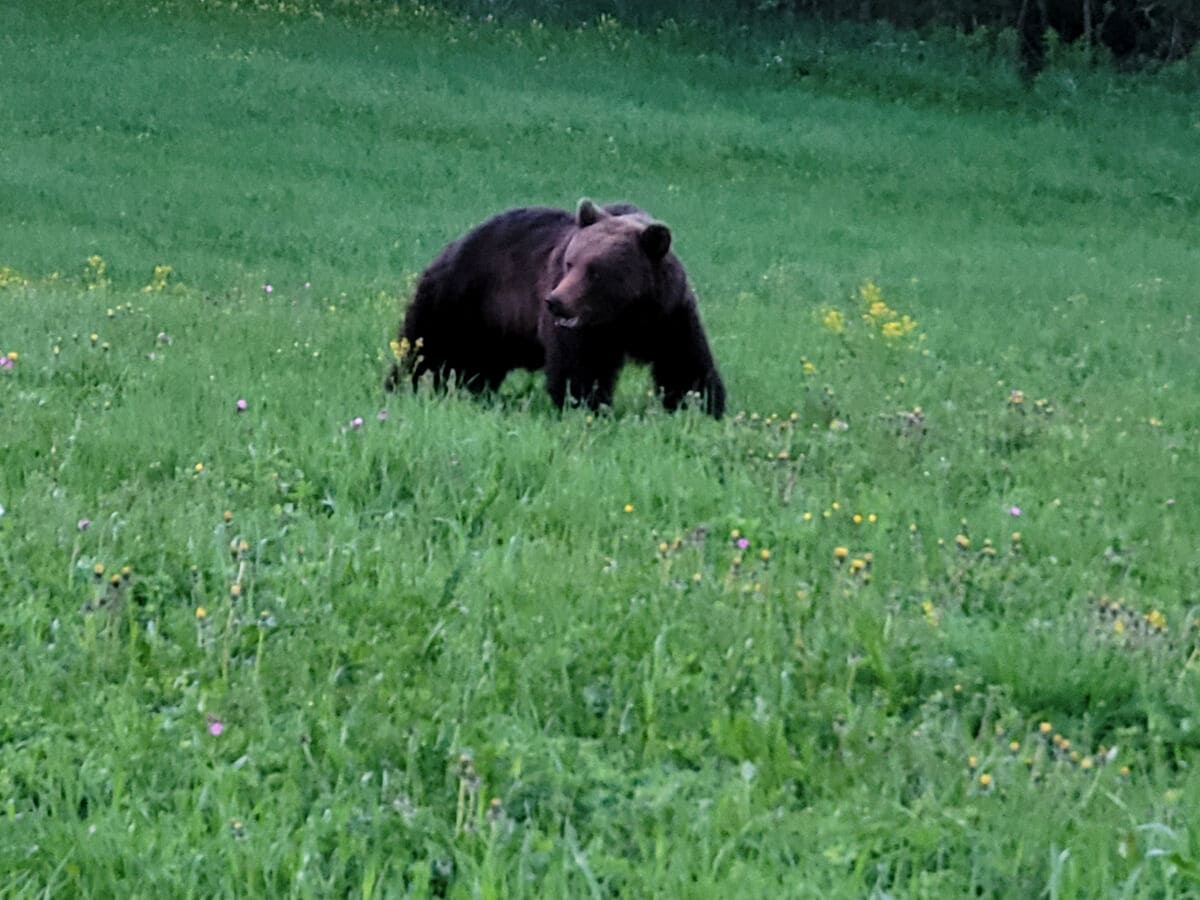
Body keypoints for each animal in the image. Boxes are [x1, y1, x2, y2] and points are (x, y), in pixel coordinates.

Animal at [386, 199, 720, 417]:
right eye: (570, 263)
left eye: (595, 272)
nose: (555, 301)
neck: (627, 318)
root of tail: (452, 245)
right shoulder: (583, 333)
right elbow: (579, 371)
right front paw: (590, 408)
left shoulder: (670, 316)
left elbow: (685, 366)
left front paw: (701, 408)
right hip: (459, 301)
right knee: (422, 350)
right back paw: (401, 388)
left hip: (491, 330)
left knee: (476, 367)